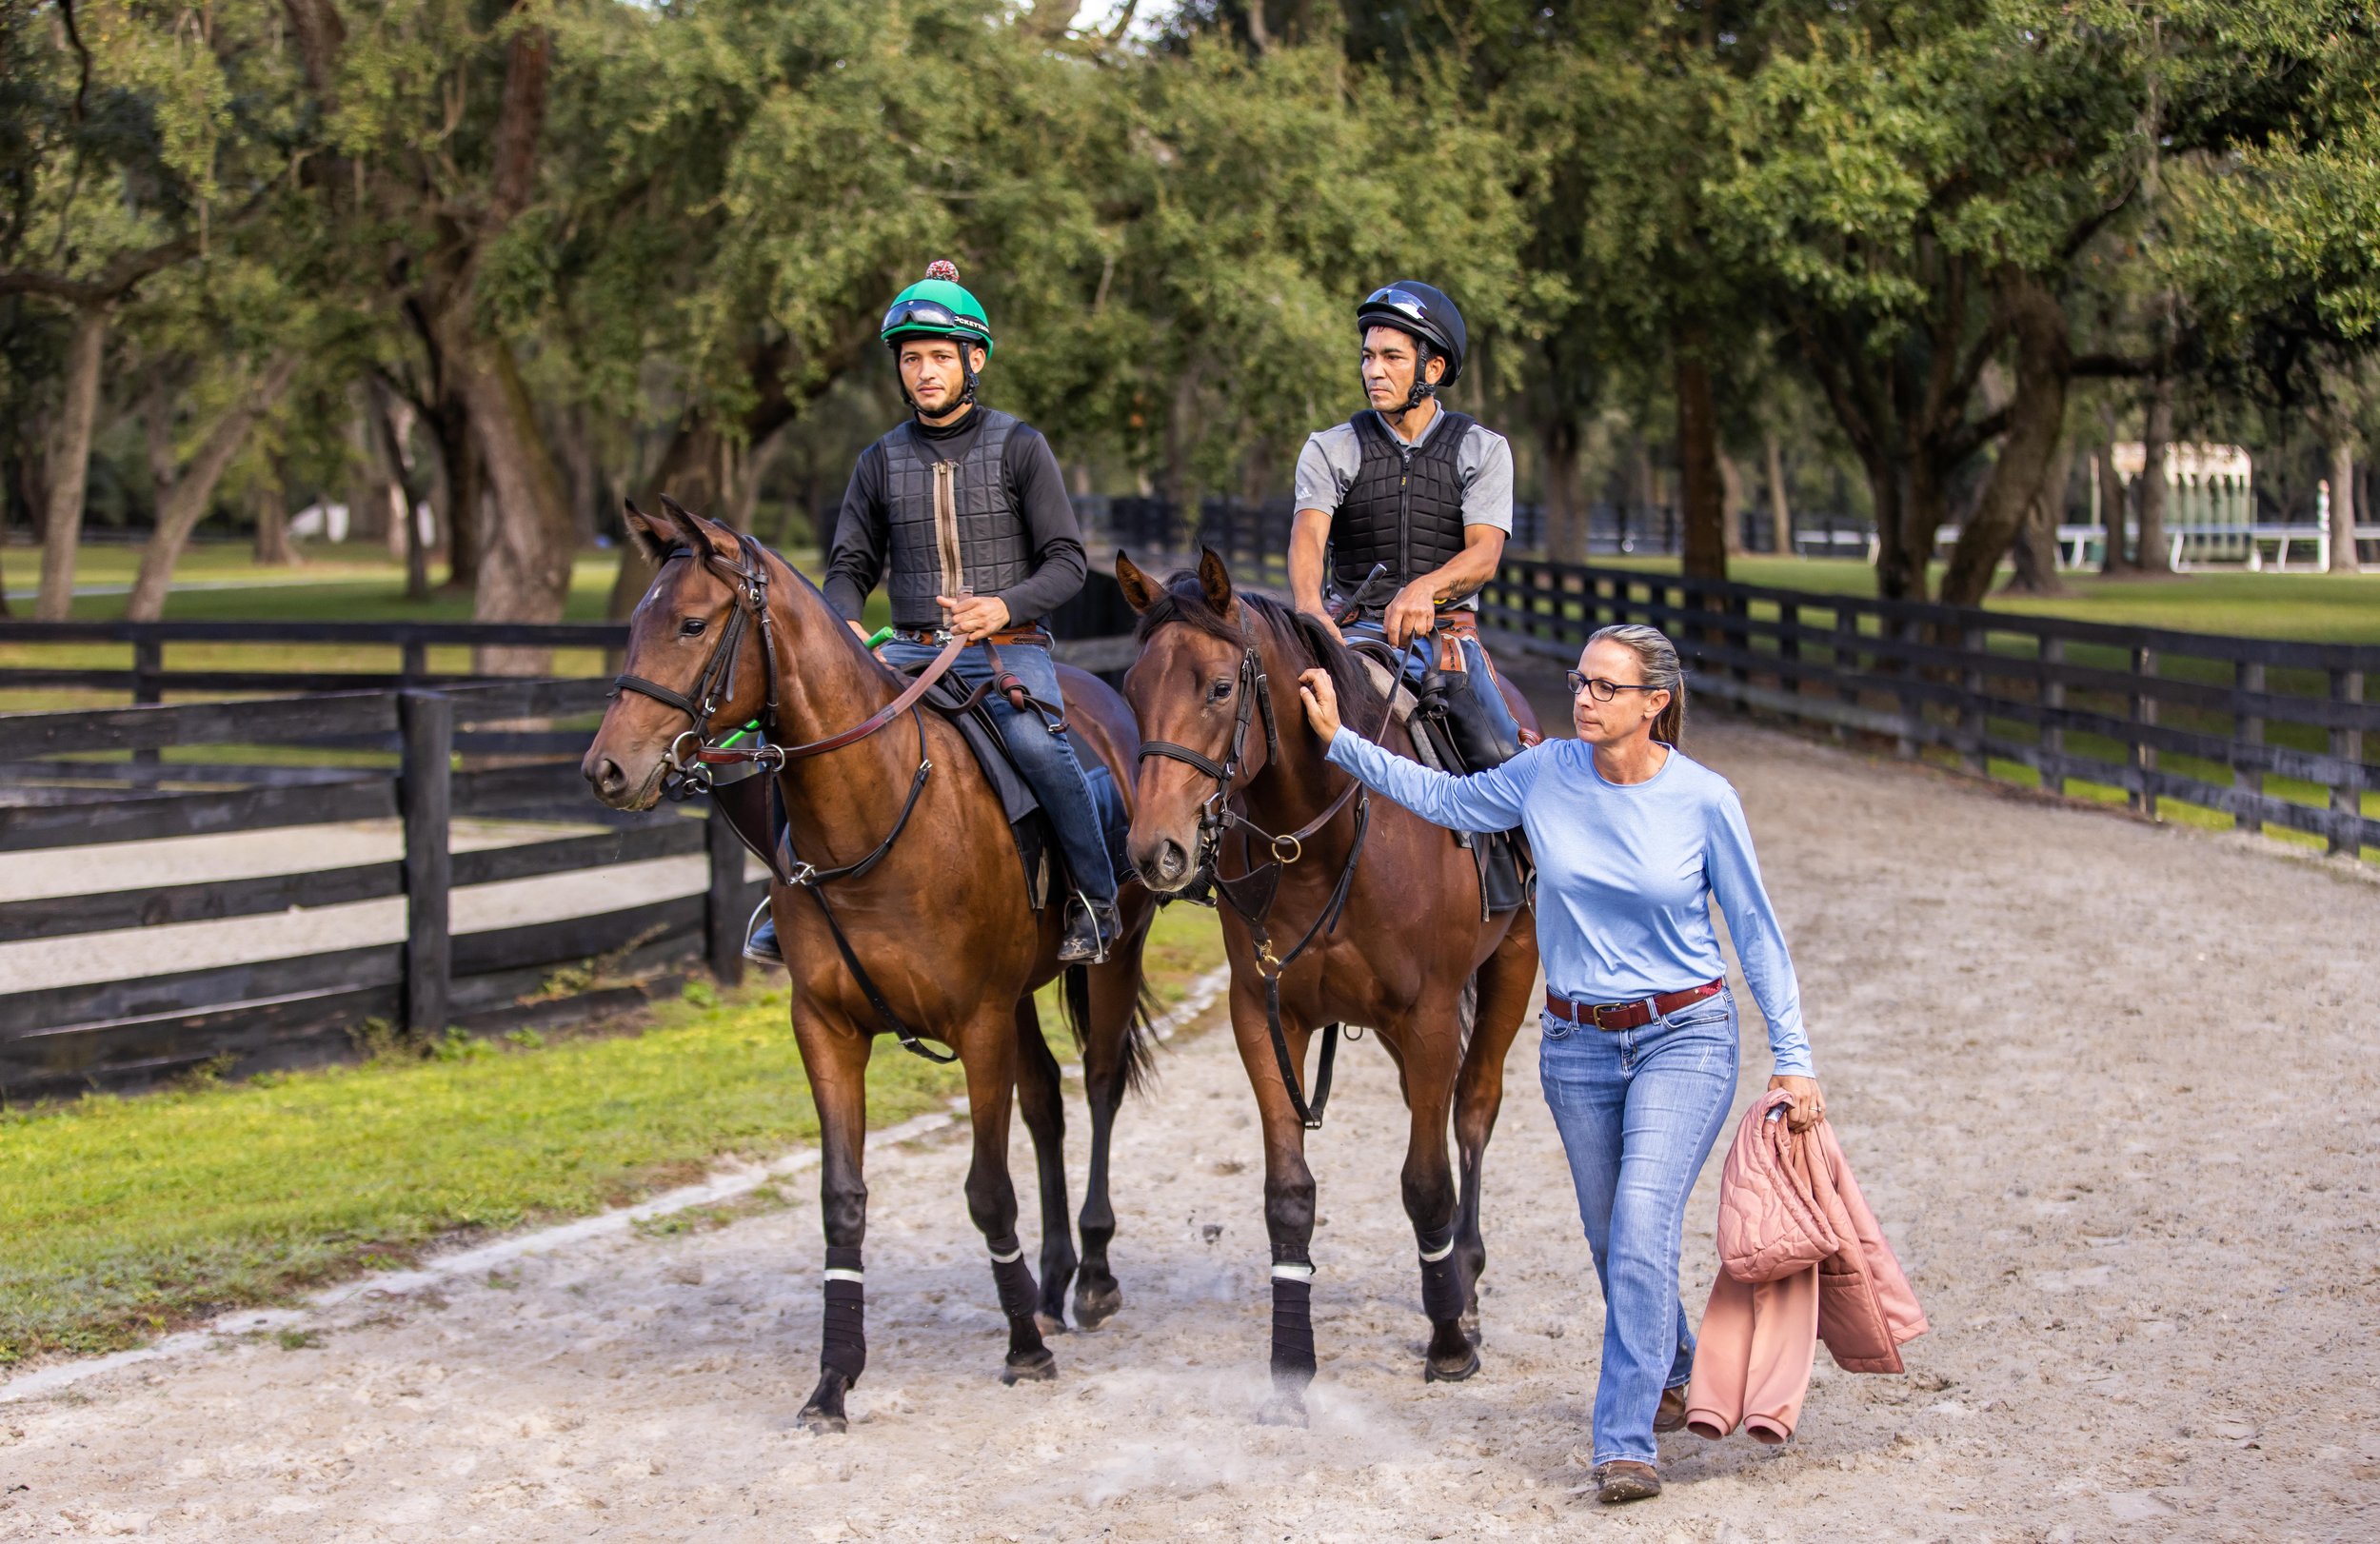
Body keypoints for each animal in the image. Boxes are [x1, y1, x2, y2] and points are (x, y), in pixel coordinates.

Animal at [585, 499, 1161, 1427]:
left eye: (692, 624)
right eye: (638, 621)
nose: (607, 767)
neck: (880, 808)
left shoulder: (976, 1024)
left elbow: (986, 1190)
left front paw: (1023, 1351)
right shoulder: (827, 1028)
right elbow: (842, 1203)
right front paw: (834, 1378)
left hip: (1111, 957)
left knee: (1100, 1085)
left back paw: (1093, 1280)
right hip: (1019, 998)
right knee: (1046, 1102)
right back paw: (1050, 1282)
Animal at [1114, 551, 1542, 1417]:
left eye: (1219, 687)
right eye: (1134, 689)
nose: (1155, 851)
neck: (1327, 839)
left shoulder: (1431, 1015)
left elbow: (1426, 1186)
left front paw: (1449, 1343)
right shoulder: (1265, 1015)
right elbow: (1289, 1193)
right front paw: (1291, 1366)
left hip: (1510, 966)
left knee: (1473, 1111)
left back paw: (1466, 1282)